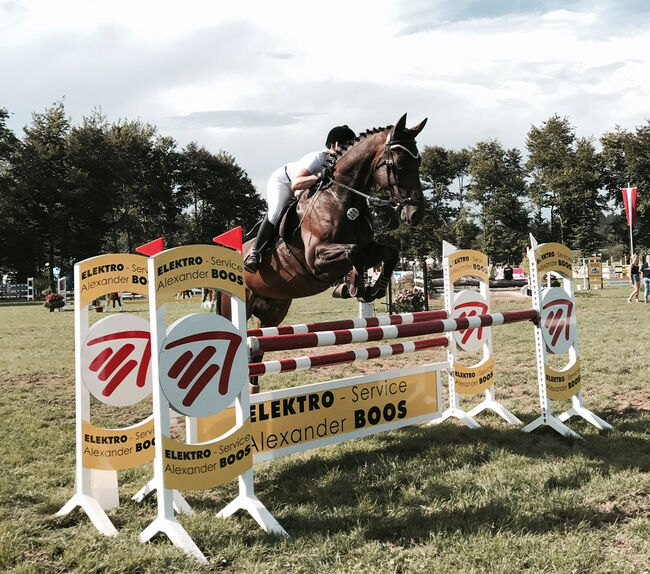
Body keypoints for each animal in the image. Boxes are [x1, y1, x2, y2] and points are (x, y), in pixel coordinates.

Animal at [220, 113, 428, 392]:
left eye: (418, 161)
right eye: (398, 164)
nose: (415, 214)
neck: (342, 199)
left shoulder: (370, 248)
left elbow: (389, 253)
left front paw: (371, 289)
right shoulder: (316, 259)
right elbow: (354, 254)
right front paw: (354, 287)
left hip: (273, 310)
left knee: (257, 348)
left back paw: (254, 388)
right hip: (238, 307)